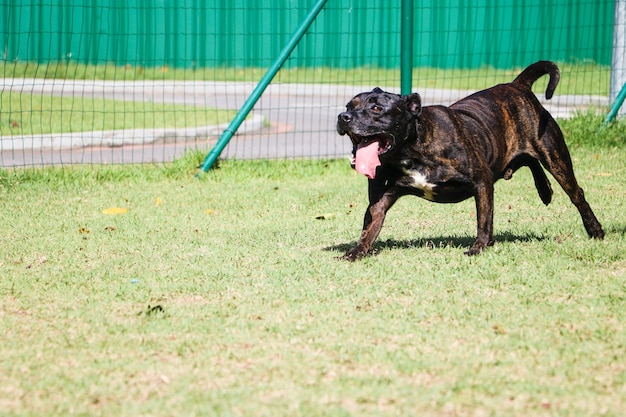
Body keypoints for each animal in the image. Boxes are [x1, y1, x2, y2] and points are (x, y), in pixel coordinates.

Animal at [336, 61, 604, 260]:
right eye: (349, 105)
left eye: (377, 109)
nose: (343, 116)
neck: (411, 150)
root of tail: (518, 86)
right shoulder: (380, 200)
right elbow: (370, 227)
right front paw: (356, 252)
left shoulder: (482, 183)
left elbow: (484, 218)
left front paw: (480, 246)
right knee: (529, 162)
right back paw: (545, 190)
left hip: (555, 157)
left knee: (576, 193)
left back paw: (595, 229)